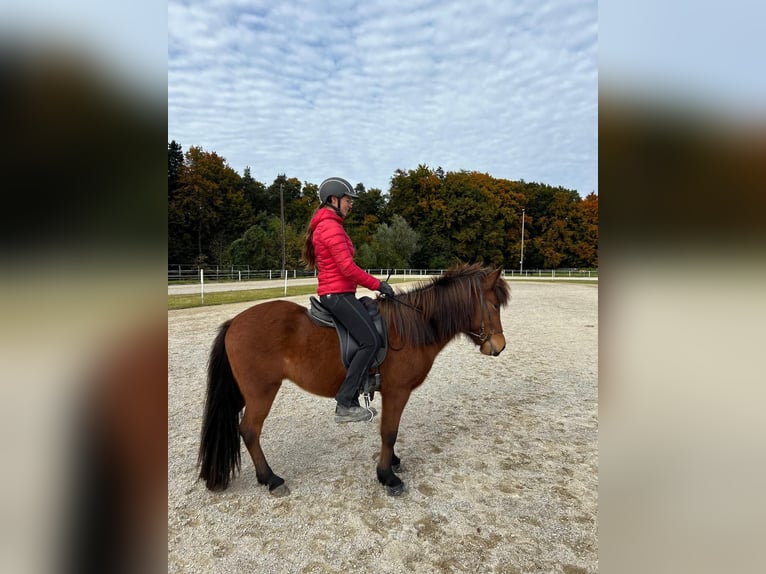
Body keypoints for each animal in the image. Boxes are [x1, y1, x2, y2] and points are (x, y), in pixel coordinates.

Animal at [198, 263, 510, 496]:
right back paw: (271, 479)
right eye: (494, 305)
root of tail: (234, 323)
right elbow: (389, 432)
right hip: (262, 392)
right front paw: (387, 476)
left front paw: (393, 462)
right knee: (249, 430)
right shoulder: (397, 391)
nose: (499, 346)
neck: (413, 325)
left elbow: (390, 431)